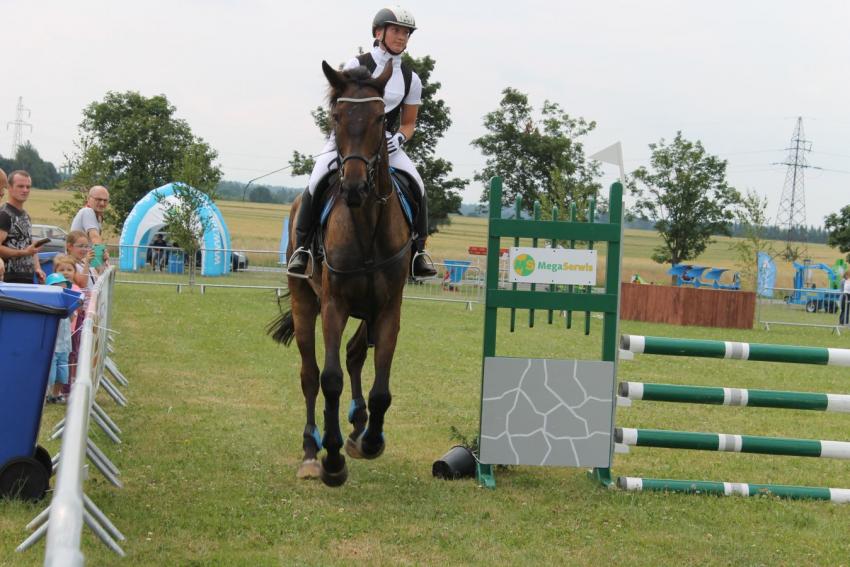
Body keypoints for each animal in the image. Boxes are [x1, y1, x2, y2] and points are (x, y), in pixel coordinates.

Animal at [266, 61, 410, 488]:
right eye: (336, 117)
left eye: (380, 118)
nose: (354, 187)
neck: (366, 223)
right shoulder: (334, 305)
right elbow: (329, 379)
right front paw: (331, 461)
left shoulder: (388, 309)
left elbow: (380, 388)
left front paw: (370, 441)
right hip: (304, 304)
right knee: (310, 374)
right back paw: (311, 451)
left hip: (367, 311)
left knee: (355, 354)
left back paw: (358, 426)